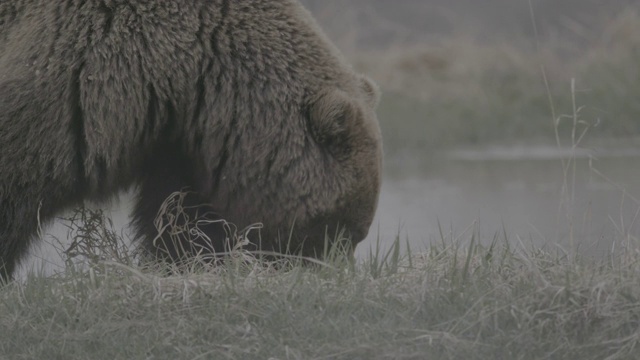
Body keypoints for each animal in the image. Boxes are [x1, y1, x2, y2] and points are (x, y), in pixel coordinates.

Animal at [0, 0, 380, 282]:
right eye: (339, 228)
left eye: (357, 232)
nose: (336, 272)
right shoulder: (82, 70)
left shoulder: (181, 143)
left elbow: (181, 220)